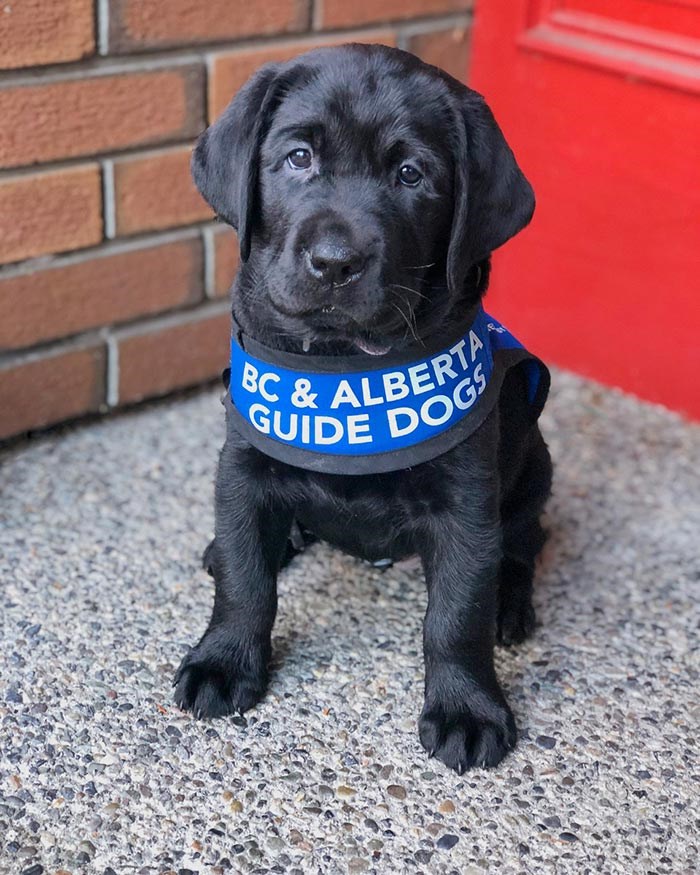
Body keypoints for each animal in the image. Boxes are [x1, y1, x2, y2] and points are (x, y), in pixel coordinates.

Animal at [175, 46, 552, 772]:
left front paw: (467, 707)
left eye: (411, 175)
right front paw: (224, 659)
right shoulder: (242, 467)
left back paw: (509, 606)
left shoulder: (468, 501)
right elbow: (244, 577)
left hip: (535, 464)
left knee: (525, 540)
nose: (334, 263)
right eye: (298, 158)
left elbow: (456, 613)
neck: (345, 364)